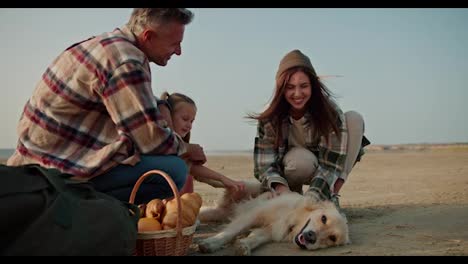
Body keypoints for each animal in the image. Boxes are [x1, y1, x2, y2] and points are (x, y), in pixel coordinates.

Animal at [197, 180, 348, 255]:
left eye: (332, 238)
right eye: (324, 218)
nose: (311, 237)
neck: (292, 221)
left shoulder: (269, 230)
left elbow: (255, 238)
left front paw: (243, 245)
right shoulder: (253, 215)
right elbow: (230, 232)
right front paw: (211, 243)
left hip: (218, 213)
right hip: (244, 187)